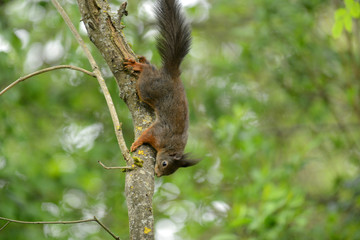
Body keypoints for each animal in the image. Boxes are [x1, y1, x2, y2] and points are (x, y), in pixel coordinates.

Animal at [124, 0, 200, 176]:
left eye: (170, 172)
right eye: (165, 164)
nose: (158, 174)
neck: (170, 146)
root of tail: (173, 74)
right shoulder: (159, 133)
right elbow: (146, 135)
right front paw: (136, 144)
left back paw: (143, 61)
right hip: (149, 89)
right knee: (147, 76)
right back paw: (141, 66)